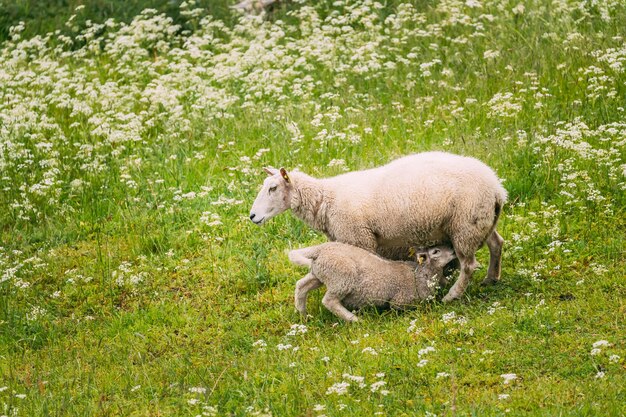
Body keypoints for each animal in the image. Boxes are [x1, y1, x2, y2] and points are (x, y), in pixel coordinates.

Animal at [249, 151, 508, 300]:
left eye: (273, 188)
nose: (252, 216)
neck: (325, 200)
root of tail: (497, 188)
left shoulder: (360, 238)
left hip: (465, 225)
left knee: (468, 266)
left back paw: (452, 295)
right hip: (482, 221)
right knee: (497, 243)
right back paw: (491, 278)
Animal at [286, 242, 454, 320]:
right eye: (436, 251)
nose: (453, 250)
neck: (421, 275)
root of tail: (320, 249)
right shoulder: (401, 301)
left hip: (321, 273)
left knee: (301, 286)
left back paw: (302, 314)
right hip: (342, 277)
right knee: (329, 301)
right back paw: (354, 319)